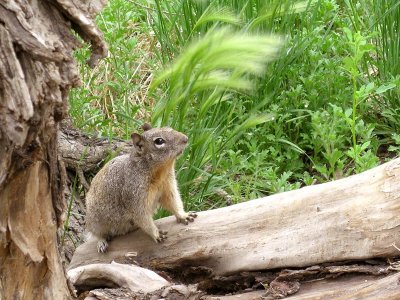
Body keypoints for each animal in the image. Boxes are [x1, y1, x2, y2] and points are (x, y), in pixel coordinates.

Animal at [85, 123, 197, 252]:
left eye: (169, 127)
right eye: (159, 141)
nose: (186, 139)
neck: (159, 172)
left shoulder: (168, 187)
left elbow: (173, 203)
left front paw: (183, 215)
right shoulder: (134, 196)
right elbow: (142, 218)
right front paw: (156, 233)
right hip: (95, 221)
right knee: (96, 234)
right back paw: (101, 242)